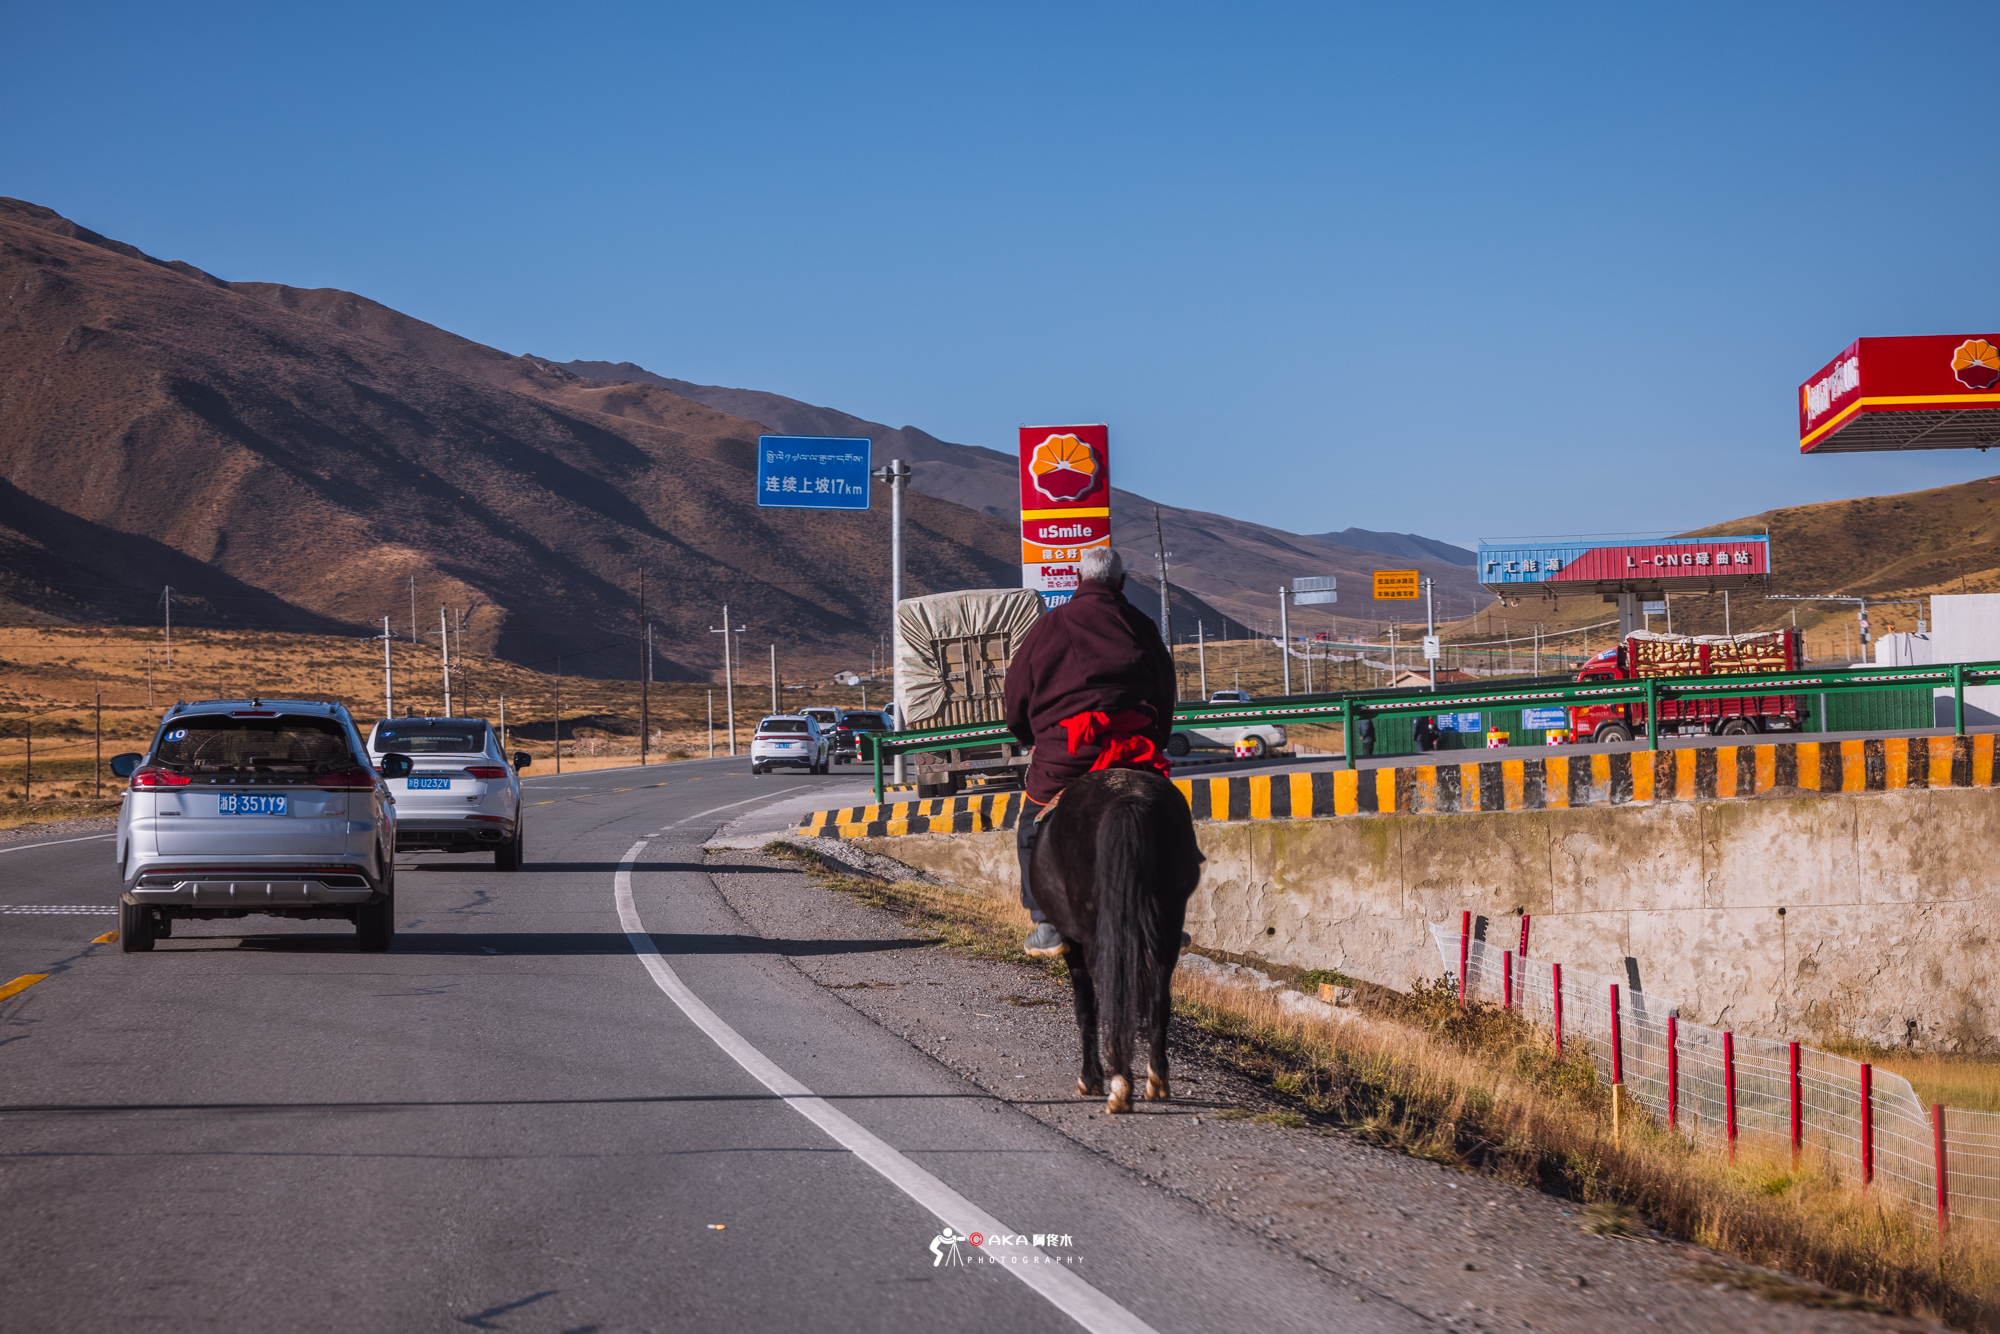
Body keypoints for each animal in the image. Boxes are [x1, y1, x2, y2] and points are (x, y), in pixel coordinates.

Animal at [1028, 766, 1204, 1114]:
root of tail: (1129, 800)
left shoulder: (1074, 944)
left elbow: (1086, 1007)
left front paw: (1090, 1078)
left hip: (1097, 936)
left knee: (1113, 994)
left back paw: (1121, 1085)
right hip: (1167, 928)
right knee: (1159, 999)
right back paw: (1156, 1081)